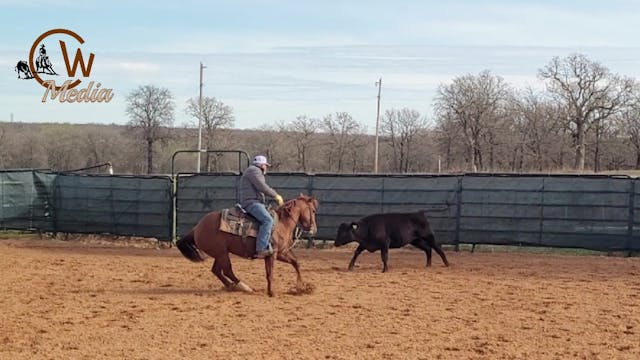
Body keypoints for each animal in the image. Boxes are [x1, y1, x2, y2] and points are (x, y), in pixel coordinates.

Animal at [176, 193, 318, 296]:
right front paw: (271, 292)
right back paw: (244, 287)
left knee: (217, 270)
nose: (314, 229)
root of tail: (196, 228)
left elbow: (296, 263)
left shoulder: (281, 253)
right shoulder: (272, 255)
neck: (282, 224)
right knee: (227, 270)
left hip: (220, 253)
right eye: (313, 211)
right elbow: (270, 274)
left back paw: (231, 286)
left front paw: (302, 287)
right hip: (222, 254)